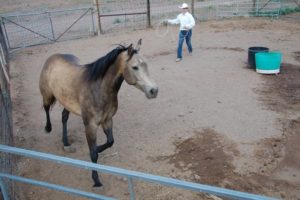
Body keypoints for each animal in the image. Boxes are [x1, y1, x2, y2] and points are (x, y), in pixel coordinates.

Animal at [38, 39, 158, 186]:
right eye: (135, 67)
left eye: (146, 64)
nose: (154, 90)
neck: (98, 89)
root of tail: (52, 58)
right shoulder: (90, 126)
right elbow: (94, 153)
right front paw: (96, 180)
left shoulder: (107, 120)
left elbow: (110, 141)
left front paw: (99, 149)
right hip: (47, 96)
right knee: (46, 108)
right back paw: (48, 128)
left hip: (67, 102)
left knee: (64, 117)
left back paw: (66, 143)